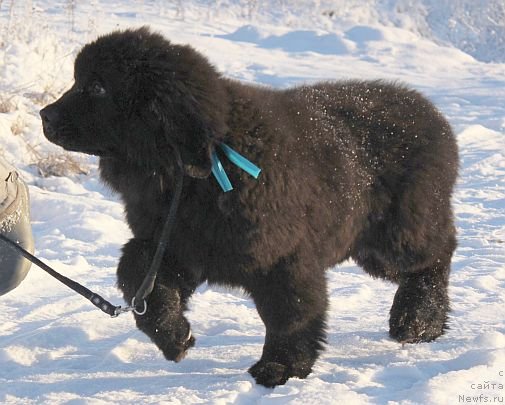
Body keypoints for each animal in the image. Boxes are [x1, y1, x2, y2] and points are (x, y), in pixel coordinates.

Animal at [40, 26, 456, 386]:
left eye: (97, 87)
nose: (44, 115)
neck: (198, 166)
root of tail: (432, 113)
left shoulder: (282, 257)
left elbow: (289, 313)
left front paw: (280, 367)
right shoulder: (171, 244)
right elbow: (139, 278)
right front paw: (174, 336)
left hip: (396, 232)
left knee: (437, 254)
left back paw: (418, 321)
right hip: (369, 243)